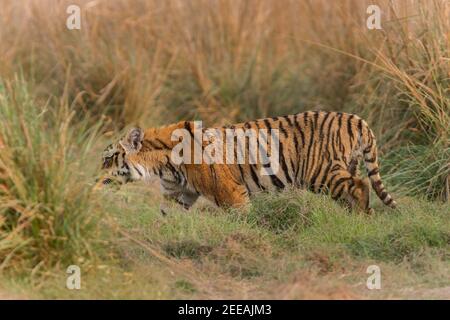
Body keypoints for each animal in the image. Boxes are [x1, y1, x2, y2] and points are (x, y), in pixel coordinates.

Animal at [96, 111, 398, 214]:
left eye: (108, 158)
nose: (95, 181)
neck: (162, 165)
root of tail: (355, 119)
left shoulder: (229, 192)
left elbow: (242, 216)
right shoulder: (177, 195)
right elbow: (165, 218)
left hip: (321, 173)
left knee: (360, 186)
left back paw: (362, 217)